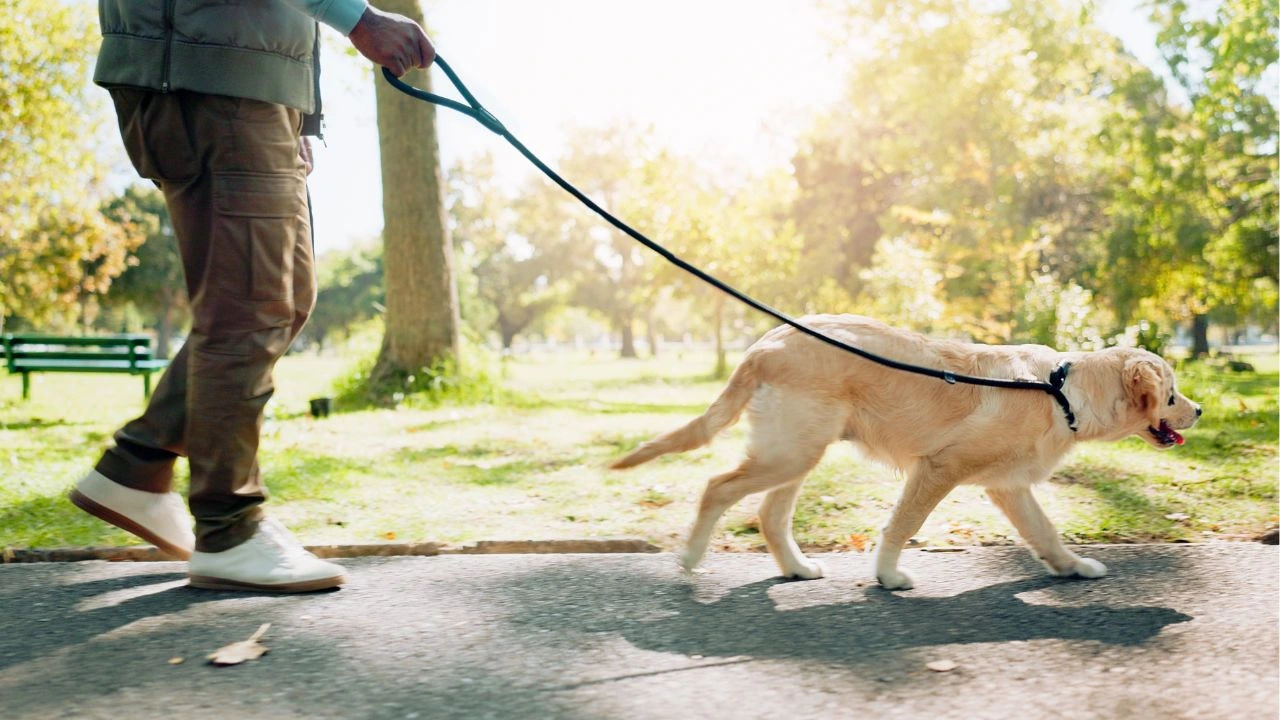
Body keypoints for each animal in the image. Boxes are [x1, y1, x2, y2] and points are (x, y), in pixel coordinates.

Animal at [609, 313, 1198, 589]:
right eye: (1171, 394)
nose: (1199, 411)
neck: (1060, 390)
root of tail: (765, 343)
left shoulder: (1007, 486)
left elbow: (1045, 532)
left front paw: (1072, 566)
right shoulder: (939, 468)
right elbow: (902, 525)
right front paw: (888, 576)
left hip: (799, 450)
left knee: (770, 515)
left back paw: (796, 568)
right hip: (792, 451)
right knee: (718, 488)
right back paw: (690, 558)